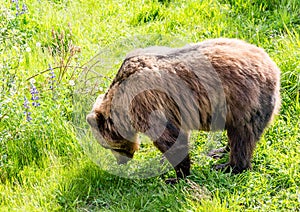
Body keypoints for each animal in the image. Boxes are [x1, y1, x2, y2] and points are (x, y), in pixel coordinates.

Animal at [85, 38, 280, 184]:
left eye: (107, 145)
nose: (121, 162)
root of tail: (273, 67)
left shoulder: (148, 104)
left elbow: (171, 139)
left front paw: (176, 177)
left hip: (243, 100)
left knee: (243, 137)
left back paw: (229, 166)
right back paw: (219, 151)